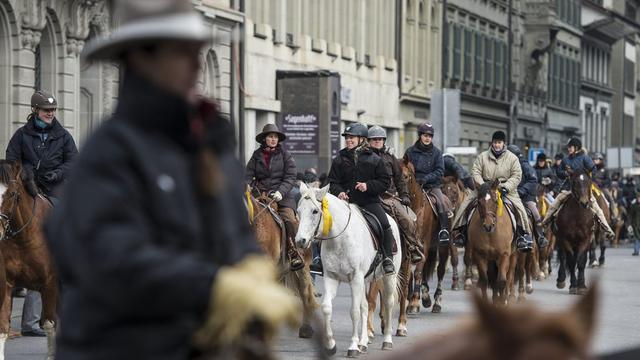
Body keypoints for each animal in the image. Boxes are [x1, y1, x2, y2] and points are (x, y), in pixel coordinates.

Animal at [296, 184, 400, 358]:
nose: (300, 241)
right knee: (365, 306)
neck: (340, 240)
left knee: (388, 303)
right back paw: (363, 342)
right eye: (298, 211)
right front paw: (331, 345)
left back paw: (387, 341)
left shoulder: (355, 278)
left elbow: (354, 312)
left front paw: (352, 347)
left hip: (388, 278)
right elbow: (327, 308)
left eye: (315, 211)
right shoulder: (332, 278)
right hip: (364, 280)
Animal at [400, 160, 450, 316]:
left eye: (405, 176)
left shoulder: (423, 246)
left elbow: (417, 272)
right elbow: (410, 273)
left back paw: (436, 303)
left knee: (440, 270)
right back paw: (426, 298)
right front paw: (411, 300)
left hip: (443, 247)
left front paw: (414, 303)